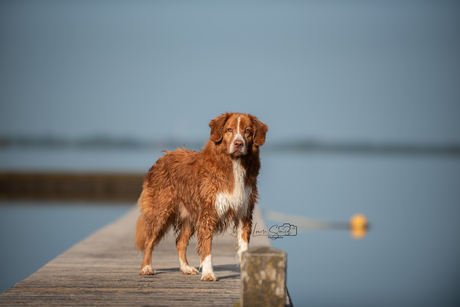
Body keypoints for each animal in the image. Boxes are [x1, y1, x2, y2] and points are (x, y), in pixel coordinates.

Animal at [135, 112, 268, 282]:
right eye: (229, 129)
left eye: (247, 131)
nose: (238, 144)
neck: (234, 164)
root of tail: (162, 157)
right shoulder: (208, 213)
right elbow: (206, 248)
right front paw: (208, 273)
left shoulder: (243, 212)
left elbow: (244, 247)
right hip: (161, 211)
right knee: (149, 240)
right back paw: (146, 268)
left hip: (189, 215)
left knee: (180, 242)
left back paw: (185, 268)